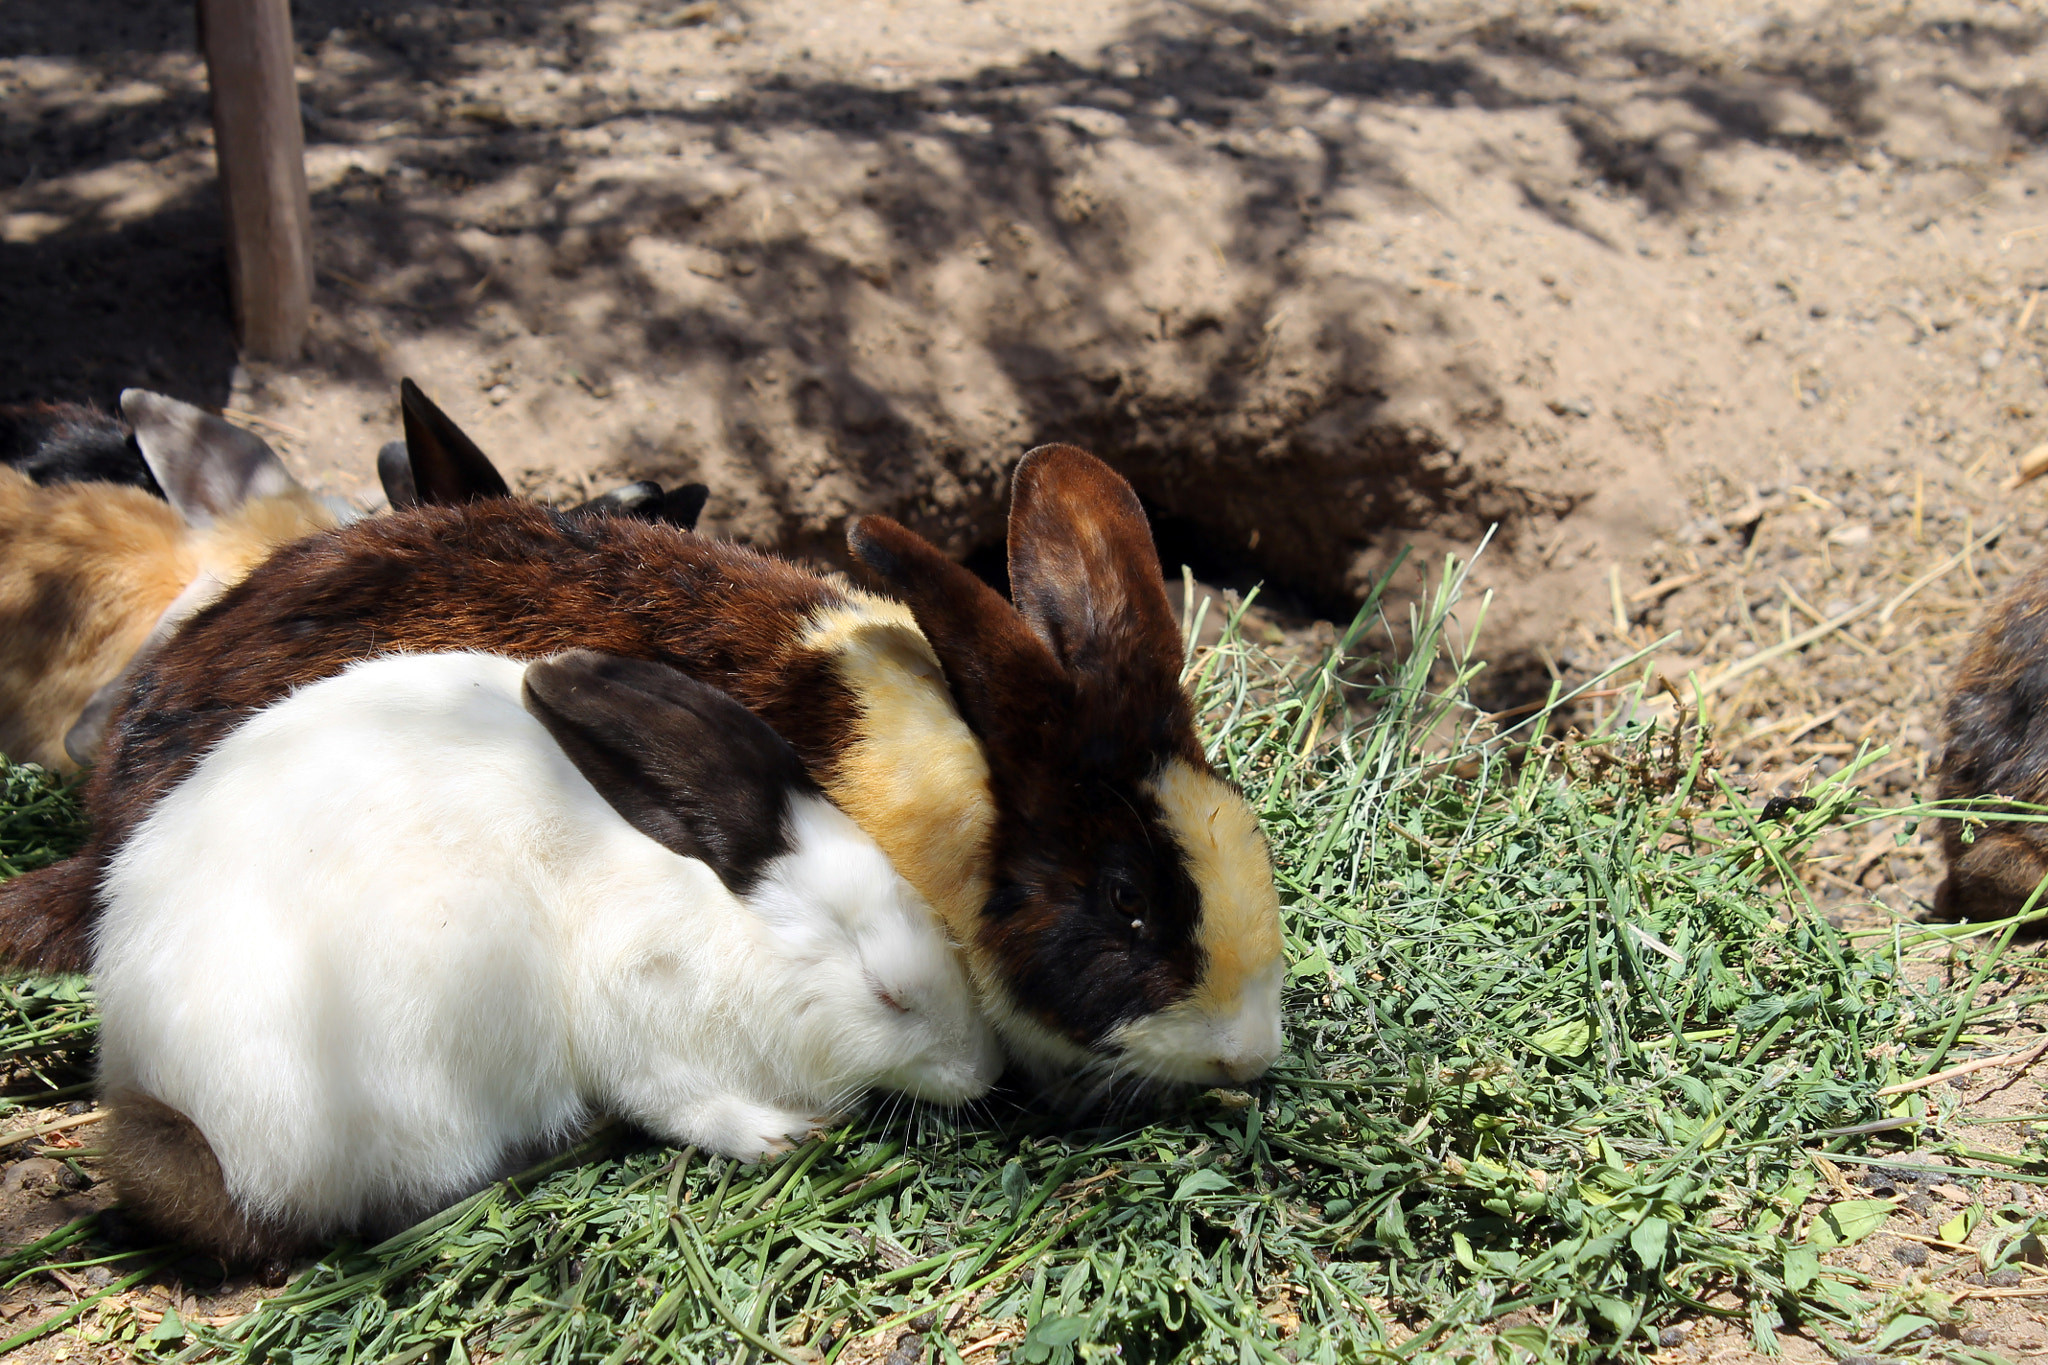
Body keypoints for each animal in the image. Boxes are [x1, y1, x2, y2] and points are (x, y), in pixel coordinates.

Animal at [93, 647, 1001, 1269]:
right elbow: (678, 1102)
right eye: (888, 996)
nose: (980, 1074)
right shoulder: (634, 1015)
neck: (729, 930)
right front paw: (778, 1134)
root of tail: (175, 1099)